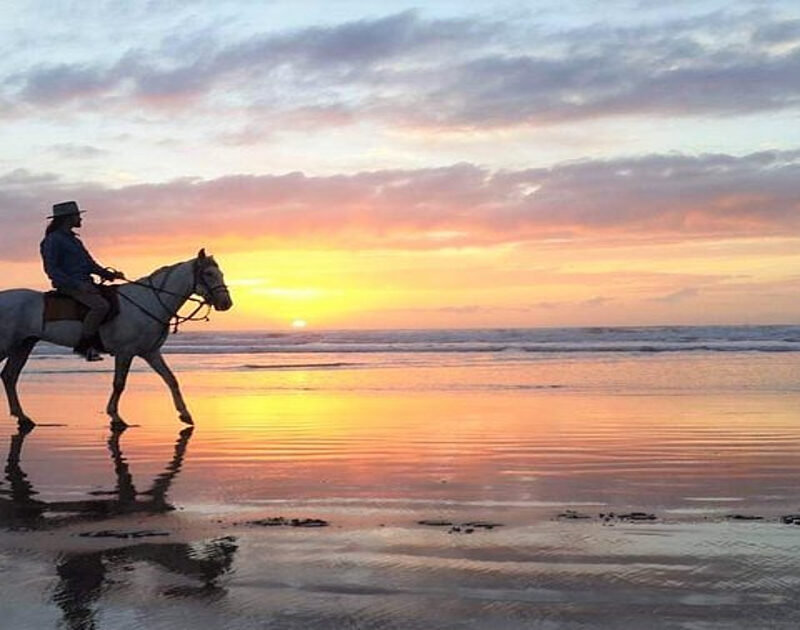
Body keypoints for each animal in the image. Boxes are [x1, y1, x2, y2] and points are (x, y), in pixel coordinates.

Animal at [0, 249, 231, 432]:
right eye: (209, 274)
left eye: (220, 273)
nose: (226, 303)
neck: (148, 301)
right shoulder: (125, 352)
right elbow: (119, 384)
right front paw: (116, 417)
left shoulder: (150, 352)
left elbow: (170, 379)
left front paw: (185, 415)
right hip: (8, 345)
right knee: (9, 375)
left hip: (23, 345)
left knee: (10, 376)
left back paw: (24, 418)